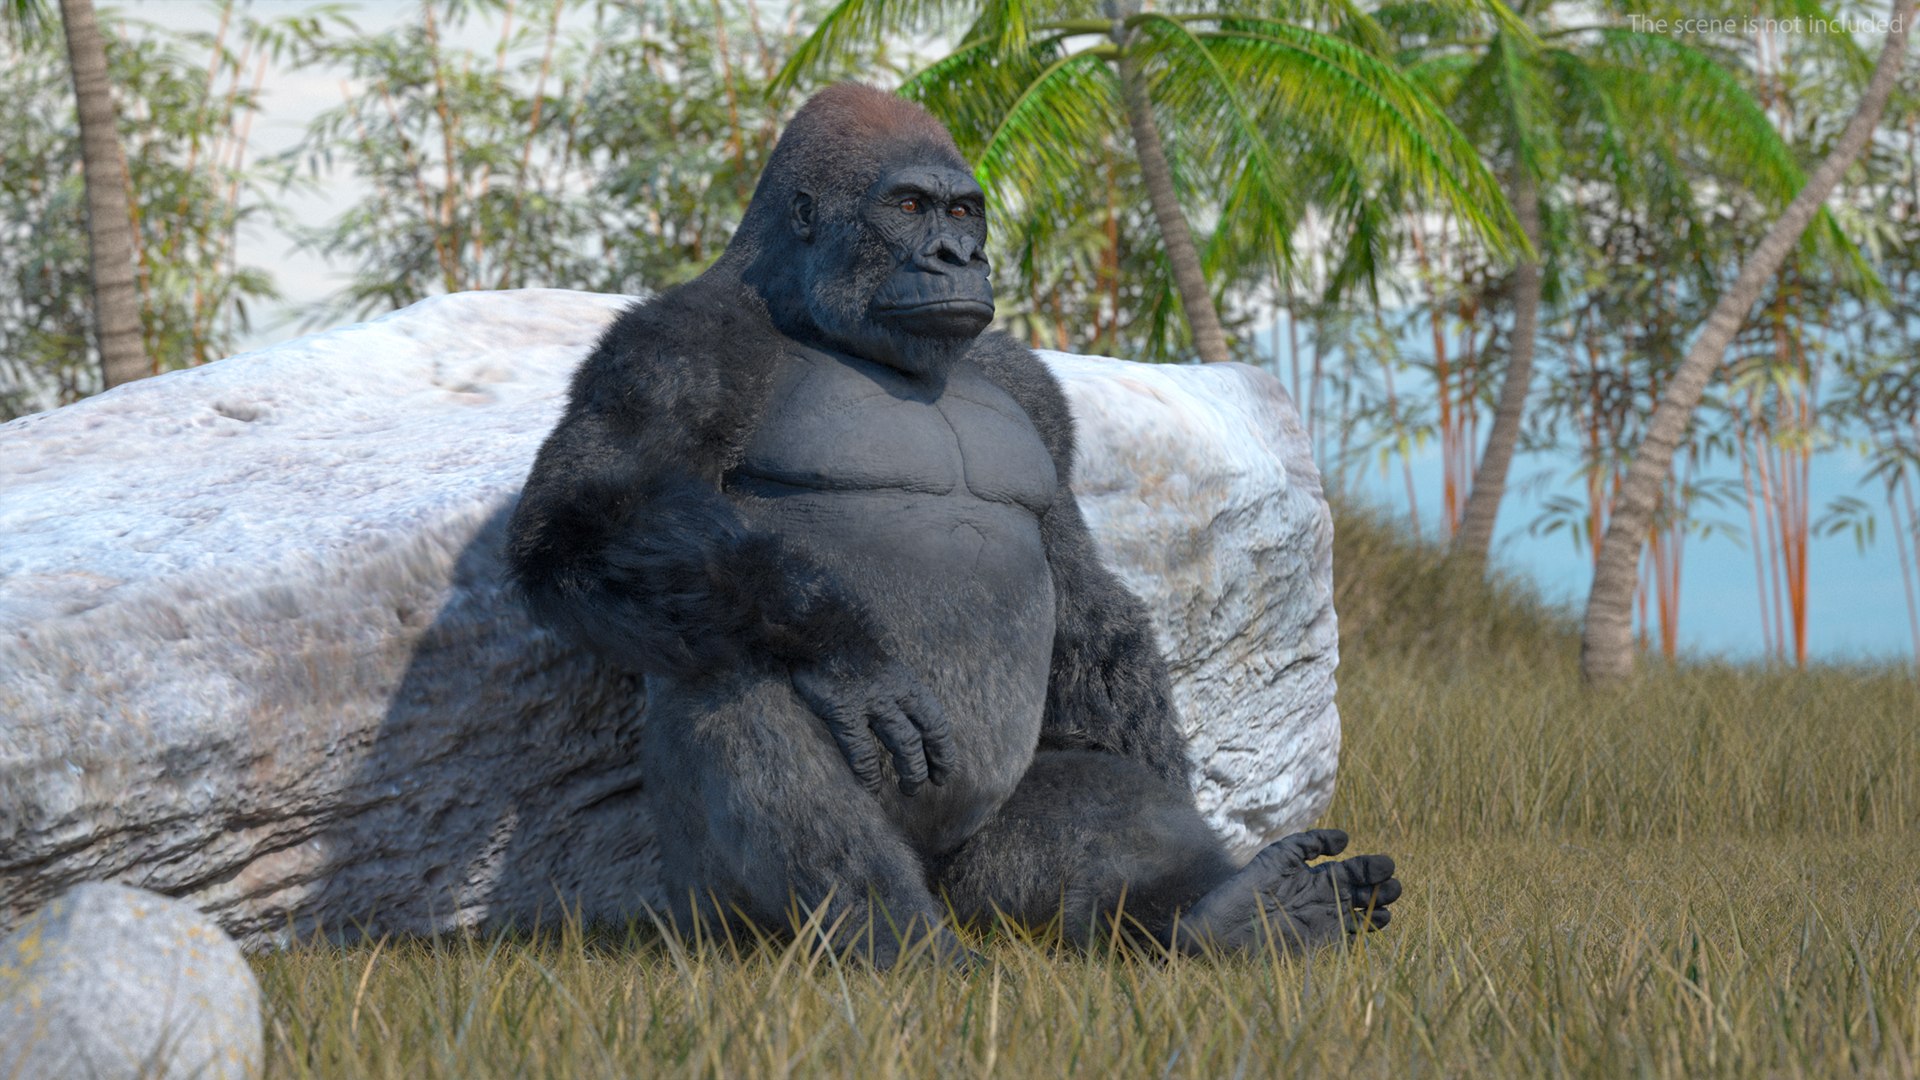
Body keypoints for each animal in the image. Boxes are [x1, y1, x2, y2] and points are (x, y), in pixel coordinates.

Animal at [506, 83, 1399, 965]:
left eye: (966, 213)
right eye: (908, 206)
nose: (958, 258)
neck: (800, 308)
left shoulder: (1027, 380)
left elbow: (1084, 597)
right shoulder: (671, 346)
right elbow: (585, 522)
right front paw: (844, 653)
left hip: (987, 875)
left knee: (1089, 802)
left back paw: (1232, 914)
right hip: (705, 916)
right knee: (736, 681)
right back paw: (902, 944)